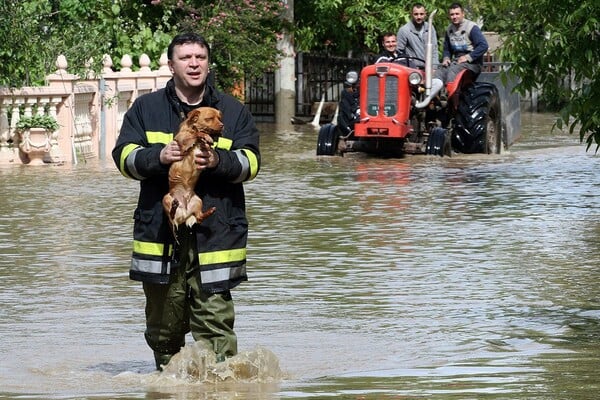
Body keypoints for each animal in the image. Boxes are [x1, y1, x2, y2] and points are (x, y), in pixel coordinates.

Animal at [162, 106, 223, 239]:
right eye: (209, 118)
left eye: (220, 118)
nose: (222, 125)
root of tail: (184, 213)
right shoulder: (184, 141)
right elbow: (197, 133)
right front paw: (206, 136)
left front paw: (209, 139)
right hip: (166, 199)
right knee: (171, 216)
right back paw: (174, 207)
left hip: (197, 201)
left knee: (199, 217)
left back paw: (210, 211)